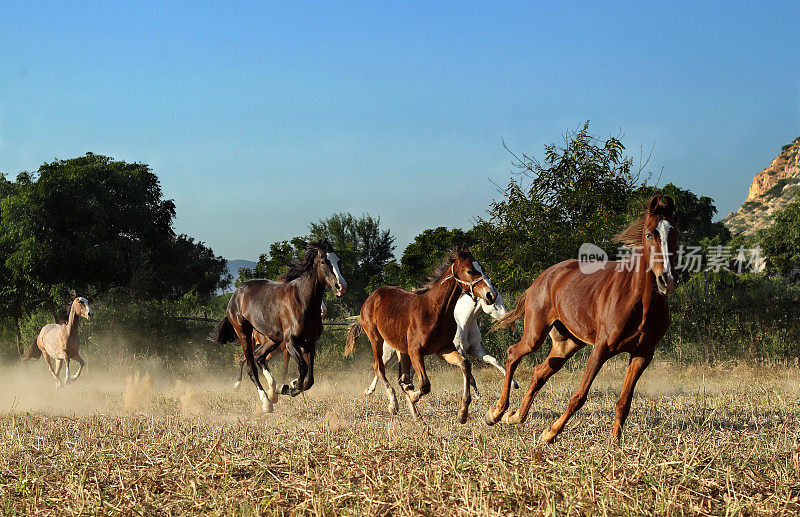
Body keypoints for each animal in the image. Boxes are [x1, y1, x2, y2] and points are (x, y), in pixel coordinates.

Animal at [208, 240, 346, 414]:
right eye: (323, 261)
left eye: (338, 261)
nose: (341, 287)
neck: (303, 302)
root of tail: (236, 294)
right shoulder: (291, 342)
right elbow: (302, 368)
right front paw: (289, 387)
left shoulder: (310, 343)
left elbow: (309, 379)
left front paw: (288, 386)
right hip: (244, 334)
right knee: (251, 366)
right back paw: (266, 402)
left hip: (272, 339)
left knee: (259, 357)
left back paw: (272, 393)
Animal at [346, 249, 496, 424]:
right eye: (470, 271)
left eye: (482, 268)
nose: (491, 295)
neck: (435, 311)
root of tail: (372, 297)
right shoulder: (416, 352)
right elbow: (424, 385)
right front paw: (410, 396)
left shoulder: (444, 349)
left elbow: (465, 364)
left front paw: (462, 414)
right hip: (376, 338)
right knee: (379, 368)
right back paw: (393, 404)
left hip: (401, 349)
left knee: (402, 377)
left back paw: (416, 416)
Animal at [362, 292, 520, 398]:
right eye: (492, 302)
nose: (507, 317)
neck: (464, 322)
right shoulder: (459, 350)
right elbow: (470, 375)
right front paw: (477, 396)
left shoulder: (475, 349)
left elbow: (493, 360)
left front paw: (514, 384)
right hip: (390, 352)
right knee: (381, 365)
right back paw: (370, 391)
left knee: (409, 372)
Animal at [484, 196, 680, 442]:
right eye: (649, 234)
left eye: (674, 233)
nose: (667, 280)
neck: (641, 305)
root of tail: (542, 278)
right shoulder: (602, 348)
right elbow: (579, 396)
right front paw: (550, 433)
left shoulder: (643, 353)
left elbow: (624, 402)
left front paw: (614, 443)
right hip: (535, 335)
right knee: (512, 355)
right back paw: (496, 413)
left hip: (567, 343)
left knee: (540, 372)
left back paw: (514, 417)